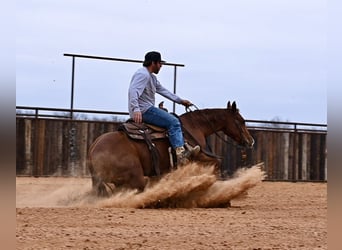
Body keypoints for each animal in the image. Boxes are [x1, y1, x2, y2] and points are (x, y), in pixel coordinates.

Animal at [87, 100, 254, 196]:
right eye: (241, 121)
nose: (251, 141)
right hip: (136, 177)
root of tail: (93, 149)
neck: (193, 127)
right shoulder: (198, 156)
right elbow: (217, 163)